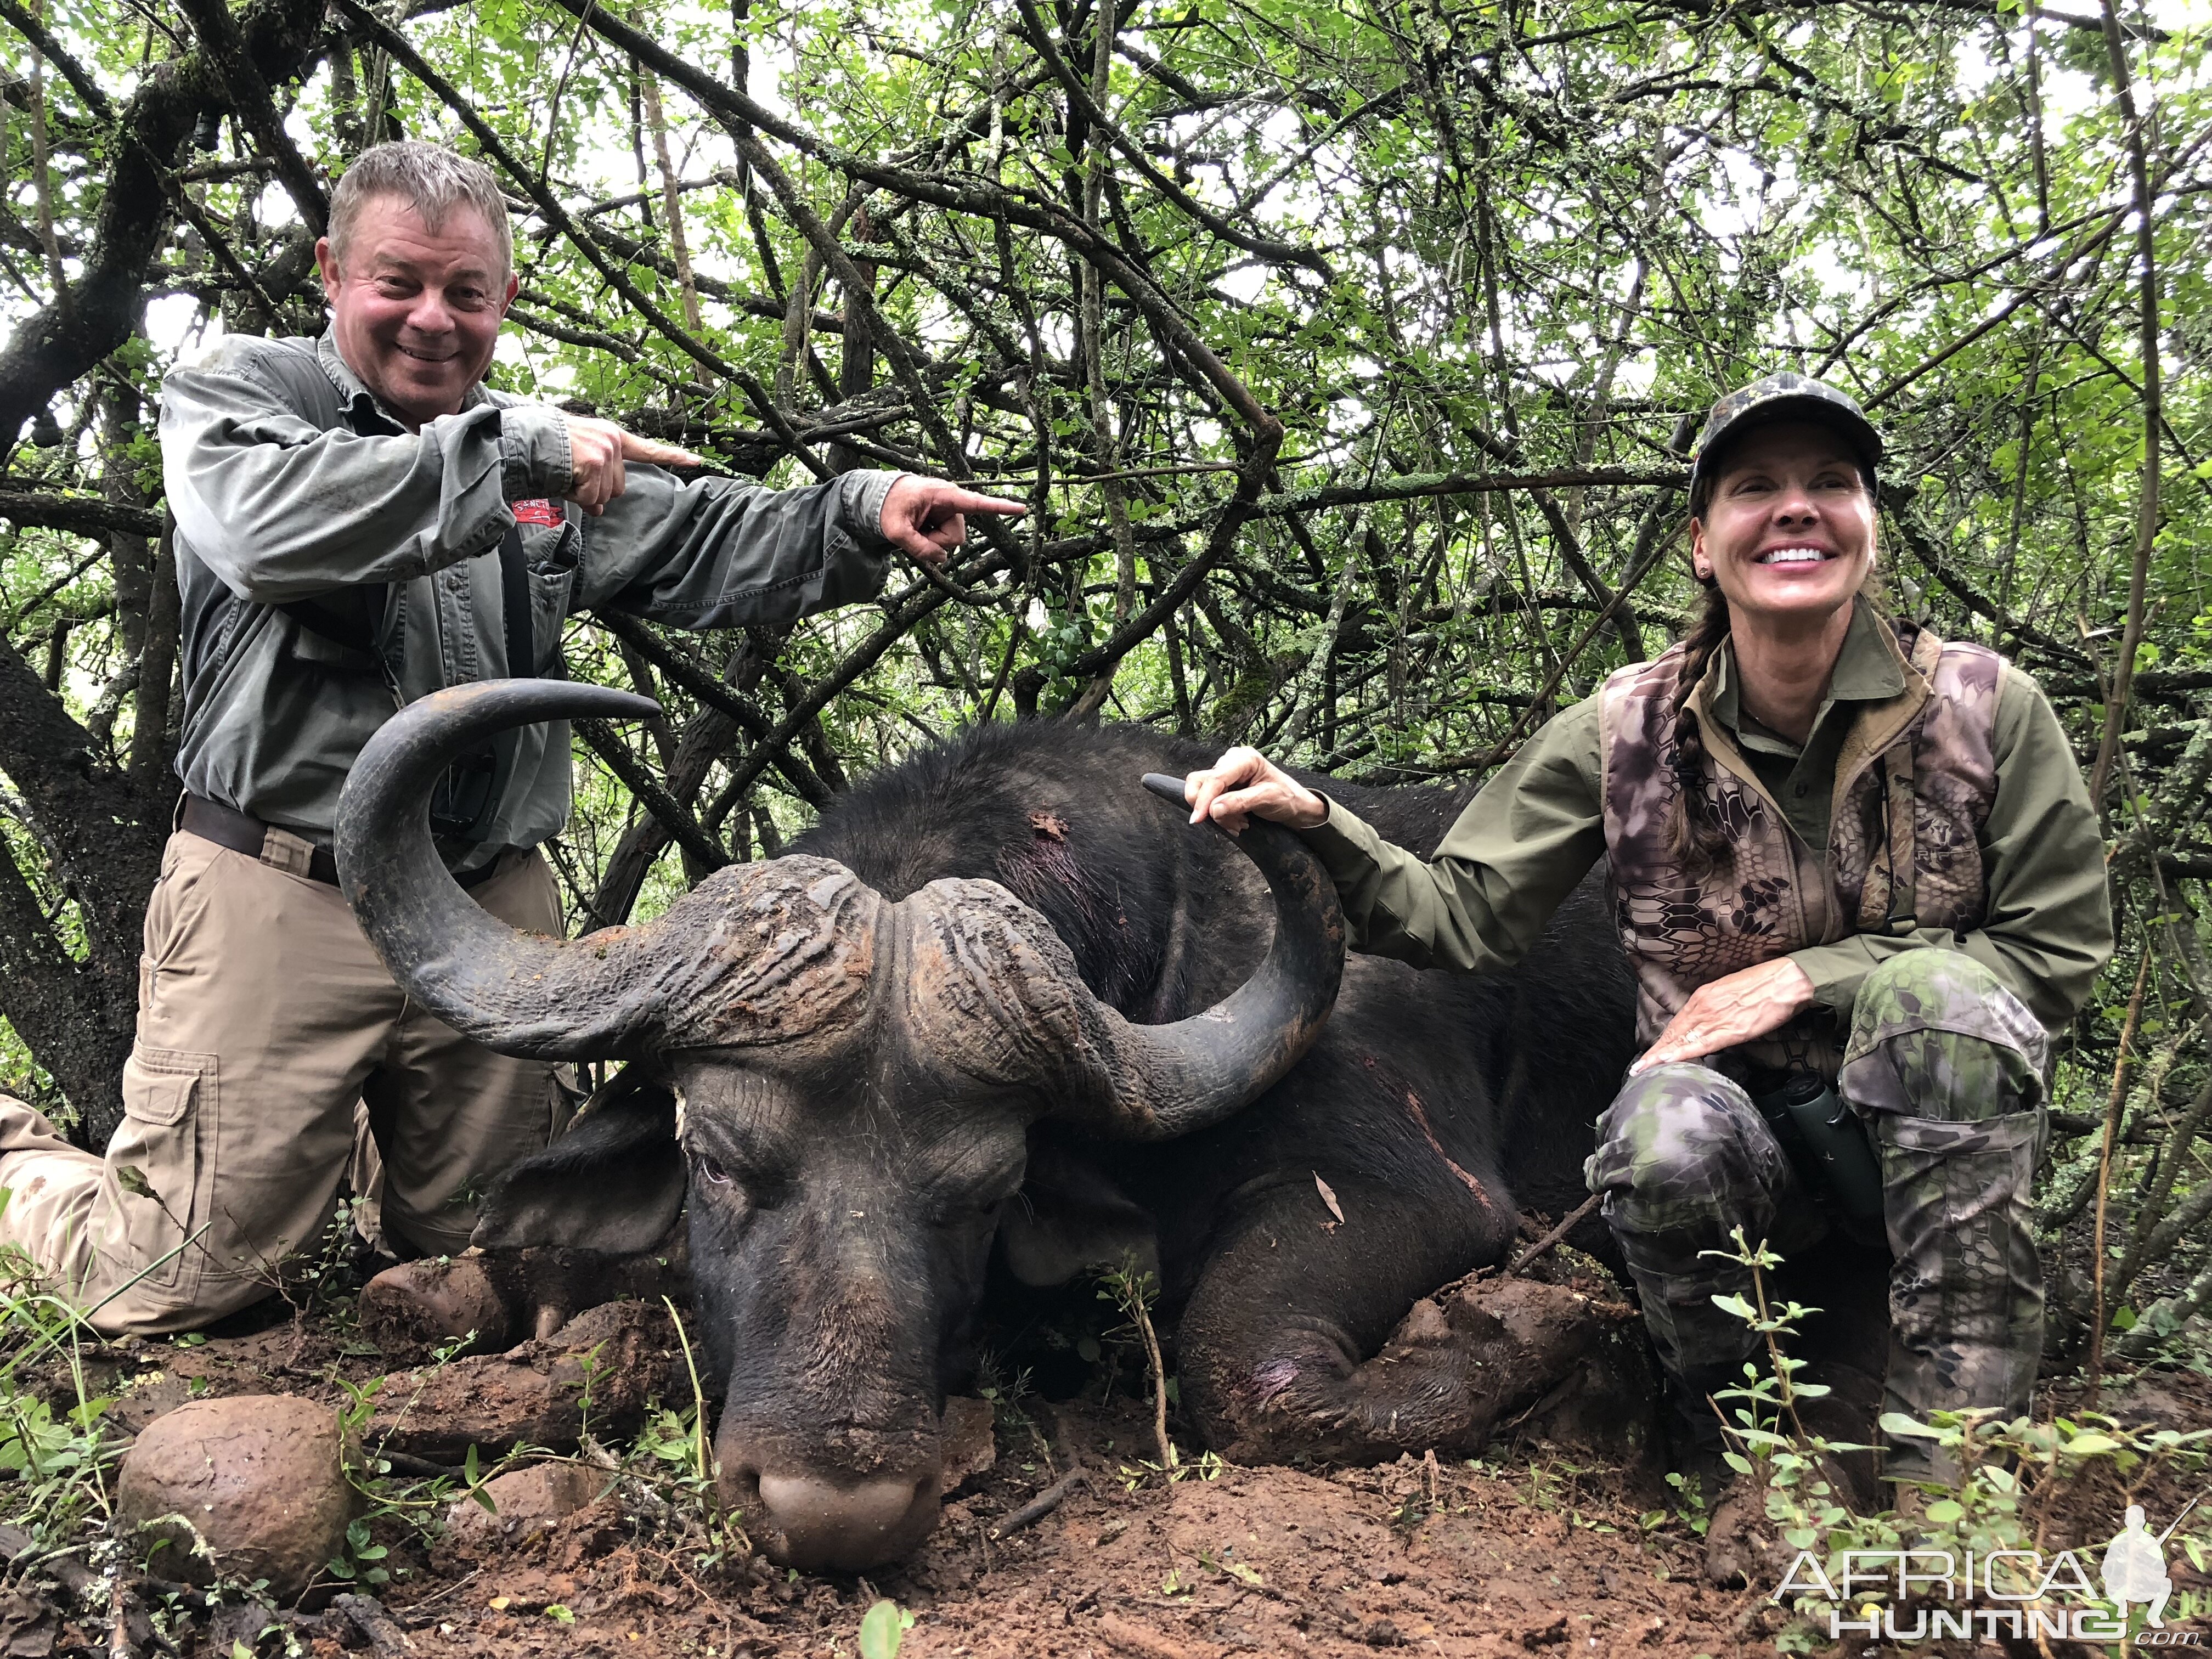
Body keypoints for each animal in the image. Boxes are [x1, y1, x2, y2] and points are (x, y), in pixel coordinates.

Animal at [327, 676, 1645, 1575]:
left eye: (988, 1189)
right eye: (715, 1157)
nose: (832, 1509)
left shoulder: (1415, 1190)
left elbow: (1246, 1364)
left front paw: (1544, 1321)